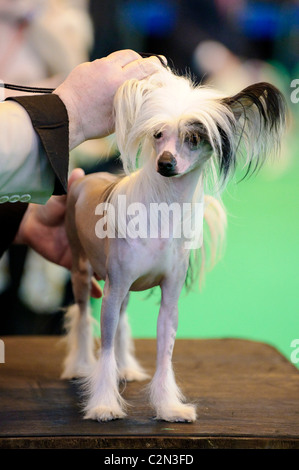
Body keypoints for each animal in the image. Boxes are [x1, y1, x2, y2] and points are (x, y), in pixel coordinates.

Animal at [62, 65, 288, 422]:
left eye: (193, 138)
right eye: (157, 134)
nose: (165, 162)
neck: (163, 210)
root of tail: (86, 177)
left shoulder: (168, 298)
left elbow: (164, 355)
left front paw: (169, 407)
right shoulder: (112, 289)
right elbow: (106, 349)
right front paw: (104, 404)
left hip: (121, 288)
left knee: (122, 320)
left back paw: (127, 369)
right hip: (83, 271)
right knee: (84, 317)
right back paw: (80, 366)